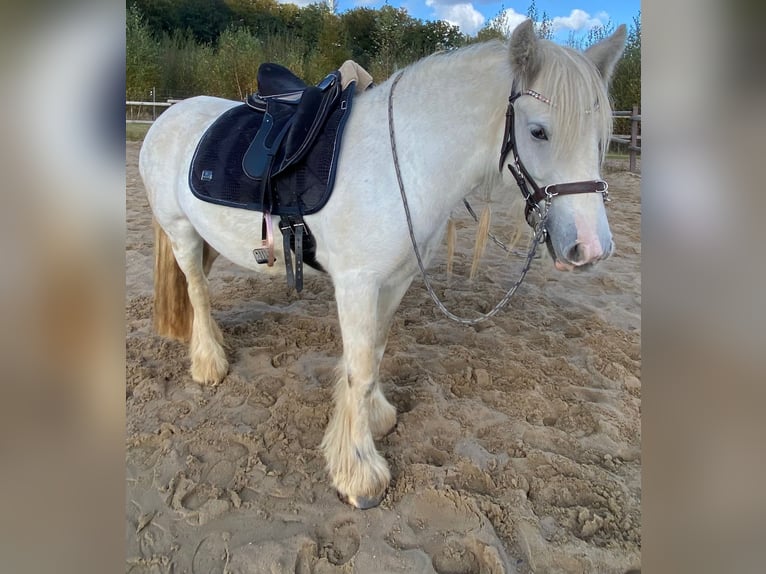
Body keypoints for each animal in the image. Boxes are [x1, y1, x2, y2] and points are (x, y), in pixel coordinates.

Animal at [140, 20, 632, 510]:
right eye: (538, 131)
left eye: (600, 136)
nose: (591, 247)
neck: (406, 164)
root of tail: (168, 116)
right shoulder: (356, 285)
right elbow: (357, 368)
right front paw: (359, 473)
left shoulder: (395, 281)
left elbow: (375, 352)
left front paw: (376, 419)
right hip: (181, 232)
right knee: (197, 292)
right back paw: (209, 363)